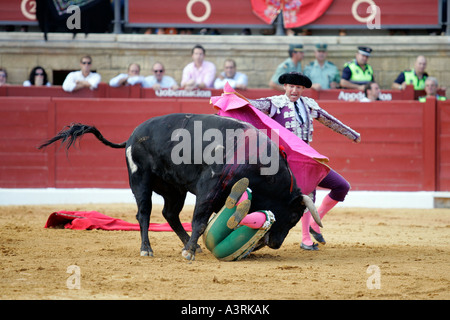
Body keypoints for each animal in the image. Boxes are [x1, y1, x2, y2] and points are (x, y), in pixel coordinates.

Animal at [38, 112, 320, 260]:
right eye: (293, 216)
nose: (275, 244)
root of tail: (130, 137)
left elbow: (205, 220)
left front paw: (191, 248)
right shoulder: (210, 188)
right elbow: (200, 220)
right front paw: (189, 254)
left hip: (175, 189)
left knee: (169, 213)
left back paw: (186, 244)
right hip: (140, 180)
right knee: (144, 214)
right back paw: (147, 249)